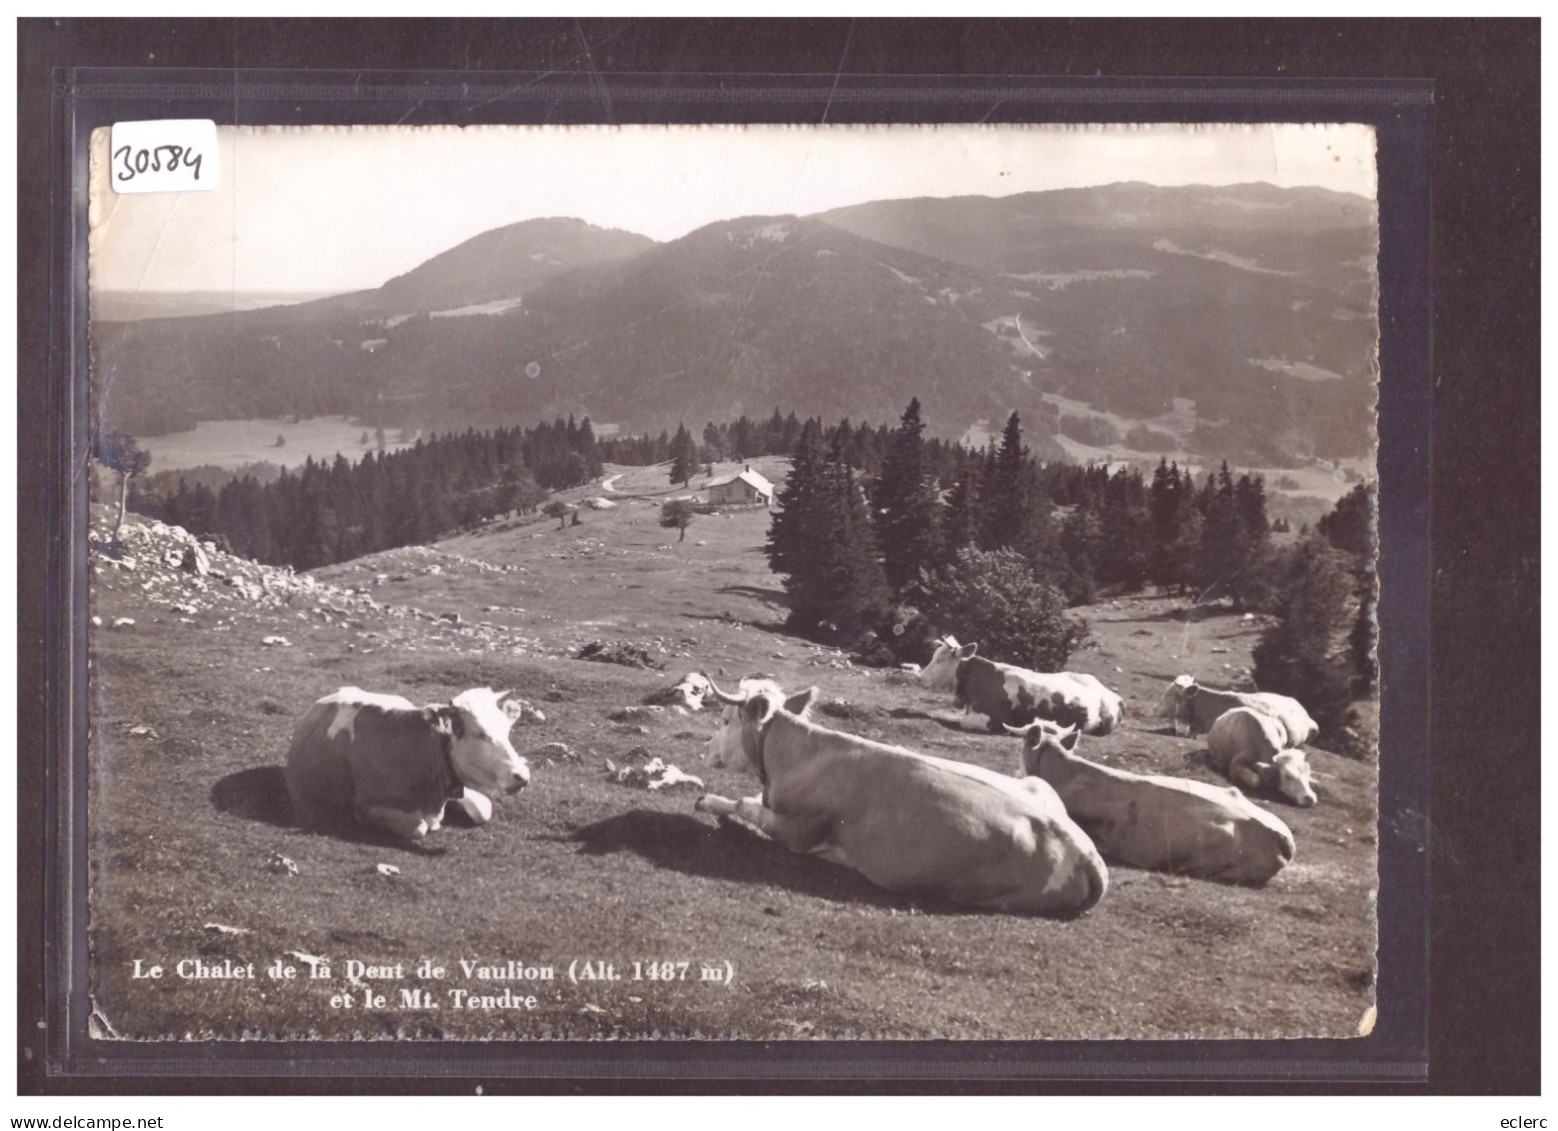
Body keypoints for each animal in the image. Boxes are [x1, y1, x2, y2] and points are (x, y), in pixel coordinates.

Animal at [286, 682, 535, 841]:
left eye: (507, 730)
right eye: (480, 734)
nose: (521, 776)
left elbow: (484, 809)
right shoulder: (365, 807)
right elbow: (418, 827)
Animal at [694, 679, 1109, 916]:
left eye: (725, 720)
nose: (706, 747)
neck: (798, 754)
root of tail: (1085, 853)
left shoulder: (798, 831)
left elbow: (745, 805)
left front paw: (711, 803)